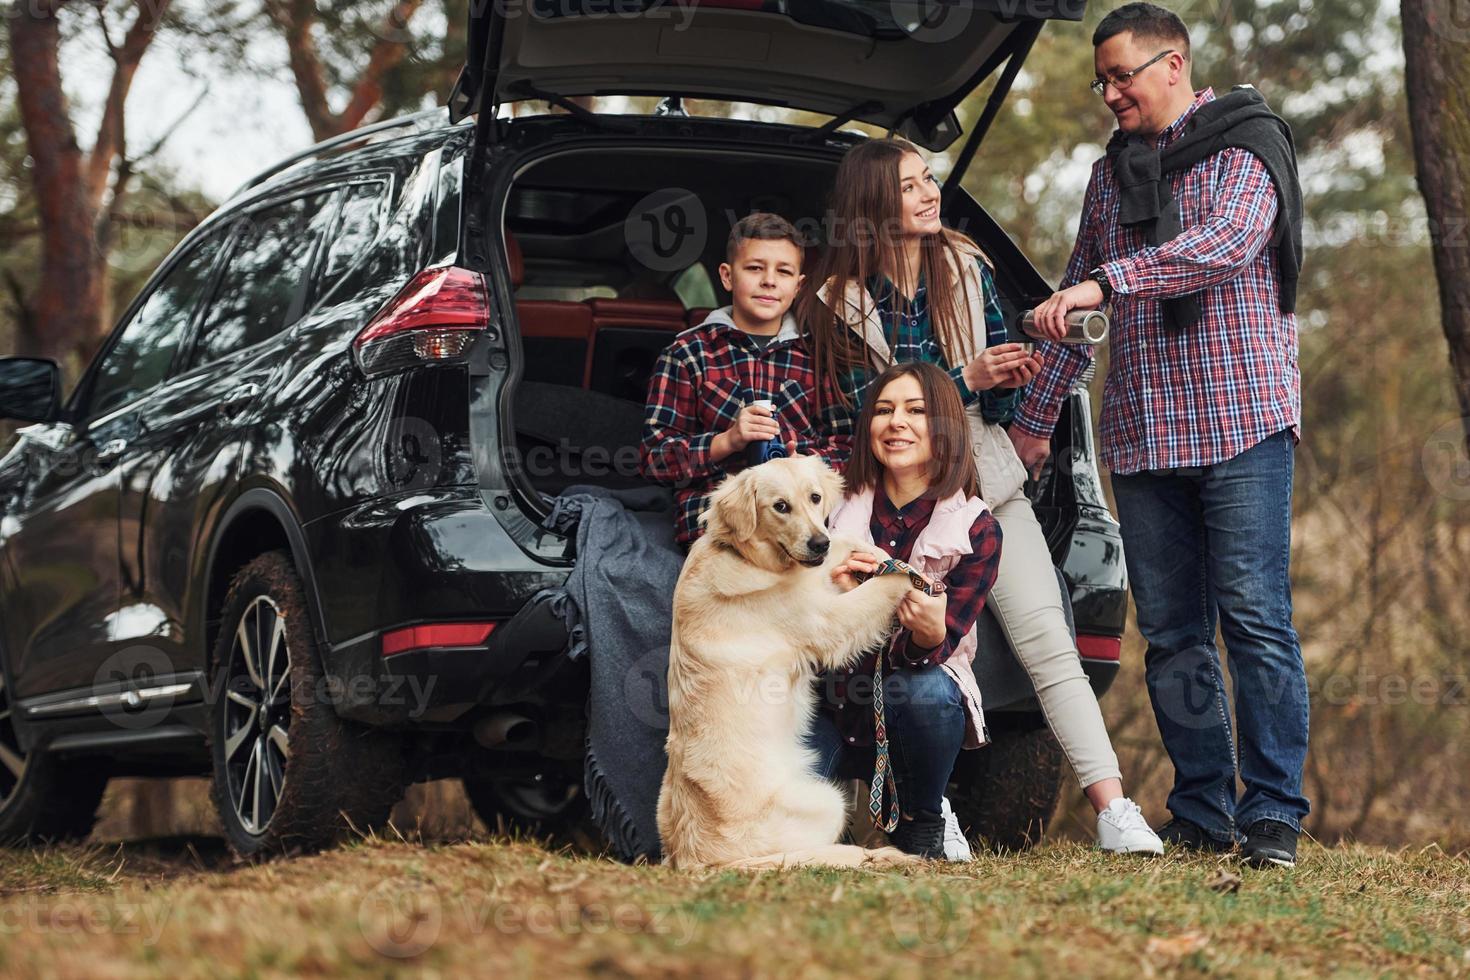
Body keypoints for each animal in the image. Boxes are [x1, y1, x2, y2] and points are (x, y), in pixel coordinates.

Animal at [658, 455, 917, 869]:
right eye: (780, 506)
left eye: (815, 498)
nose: (817, 543)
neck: (742, 554)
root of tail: (691, 858)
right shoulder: (826, 619)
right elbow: (884, 585)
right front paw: (914, 574)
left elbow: (847, 543)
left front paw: (872, 554)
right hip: (827, 800)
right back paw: (870, 853)